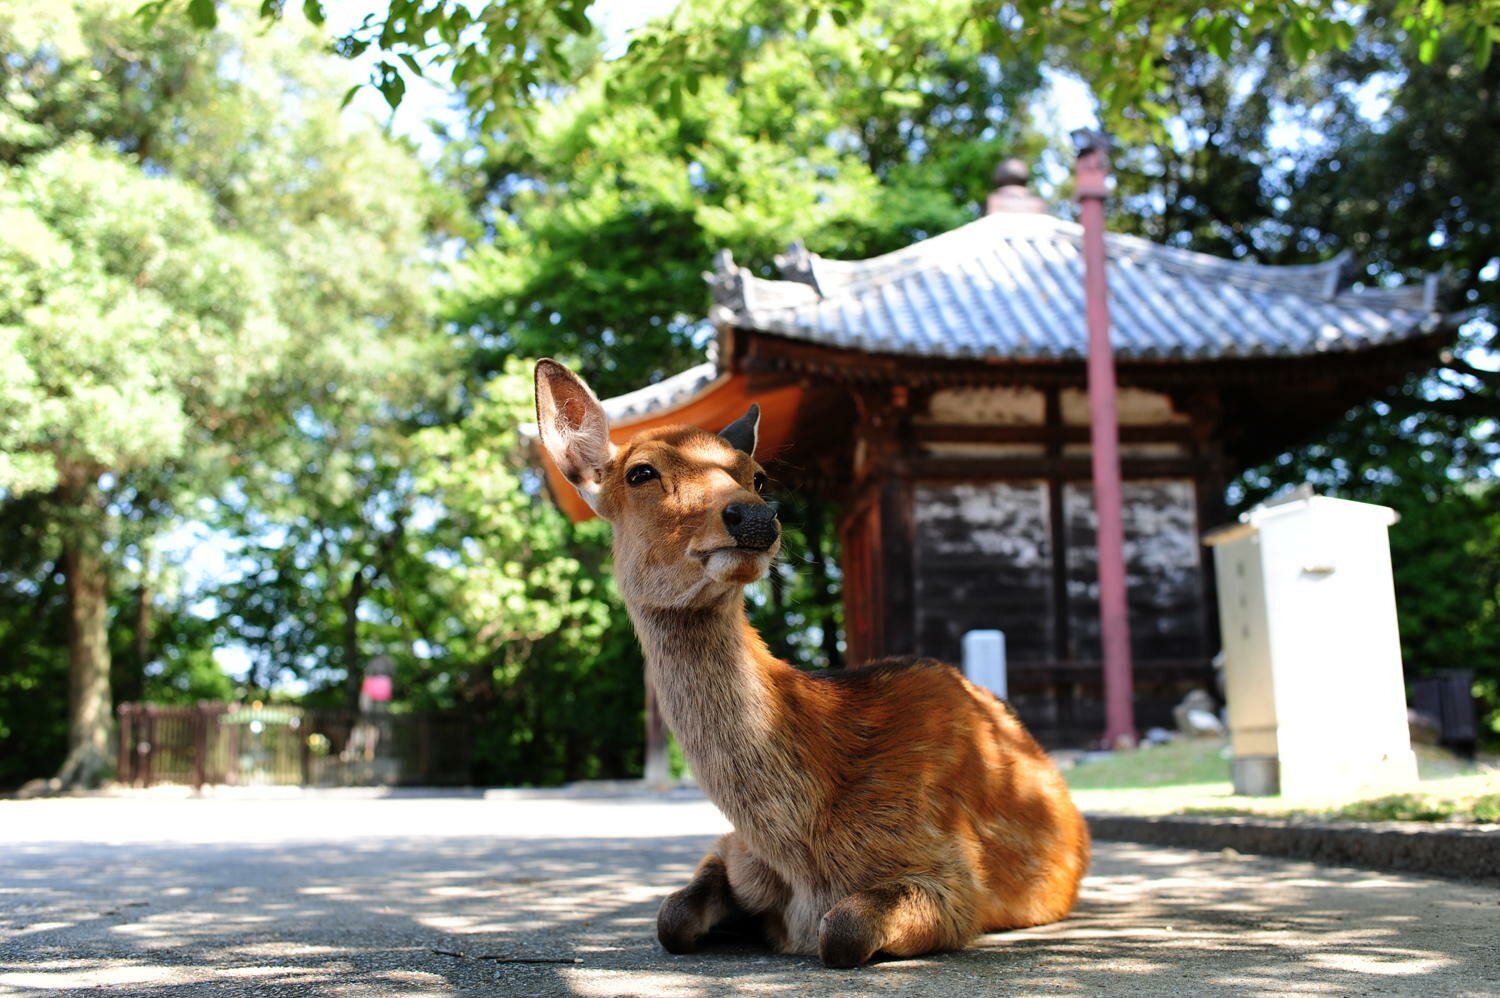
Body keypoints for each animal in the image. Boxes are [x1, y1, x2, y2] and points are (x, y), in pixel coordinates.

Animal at [537, 358, 1092, 966]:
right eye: (640, 473)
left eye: (757, 476)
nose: (756, 517)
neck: (802, 858)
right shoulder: (731, 846)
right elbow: (671, 917)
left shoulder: (954, 873)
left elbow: (841, 932)